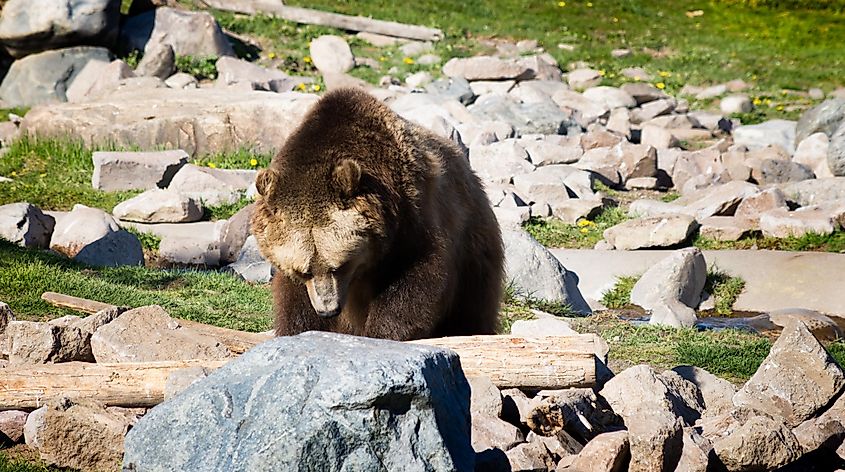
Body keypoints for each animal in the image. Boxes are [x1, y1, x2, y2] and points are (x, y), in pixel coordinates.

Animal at [249, 87, 502, 340]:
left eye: (340, 266)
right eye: (304, 271)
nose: (328, 310)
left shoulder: (414, 217)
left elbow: (416, 278)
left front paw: (381, 333)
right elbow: (295, 300)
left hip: (472, 250)